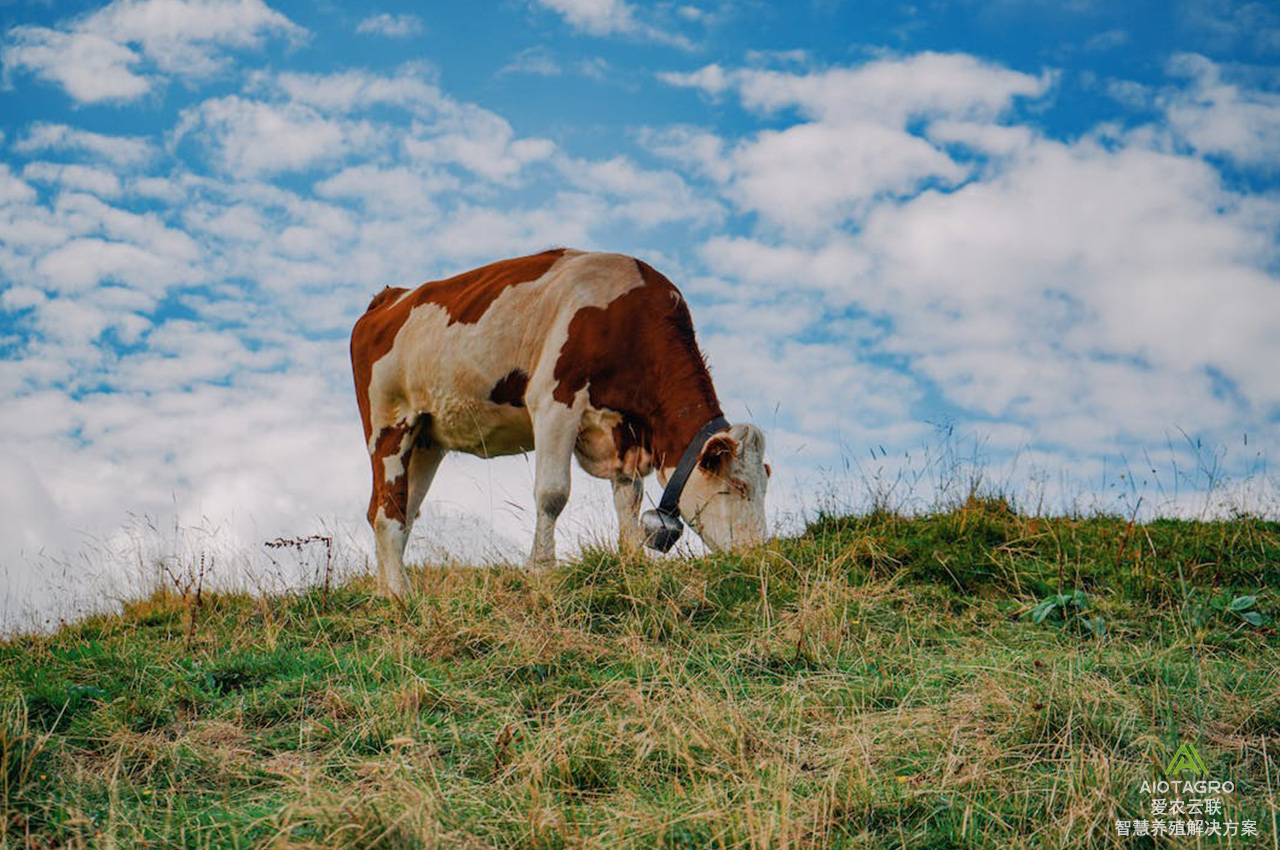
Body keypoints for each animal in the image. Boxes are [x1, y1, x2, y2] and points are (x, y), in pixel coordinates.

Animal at [348, 249, 768, 596]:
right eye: (739, 486)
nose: (760, 555)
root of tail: (392, 296)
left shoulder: (624, 434)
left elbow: (628, 501)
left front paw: (632, 560)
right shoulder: (554, 401)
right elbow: (552, 494)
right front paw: (542, 569)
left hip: (426, 439)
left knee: (402, 509)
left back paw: (387, 591)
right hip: (388, 423)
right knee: (385, 511)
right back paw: (402, 596)